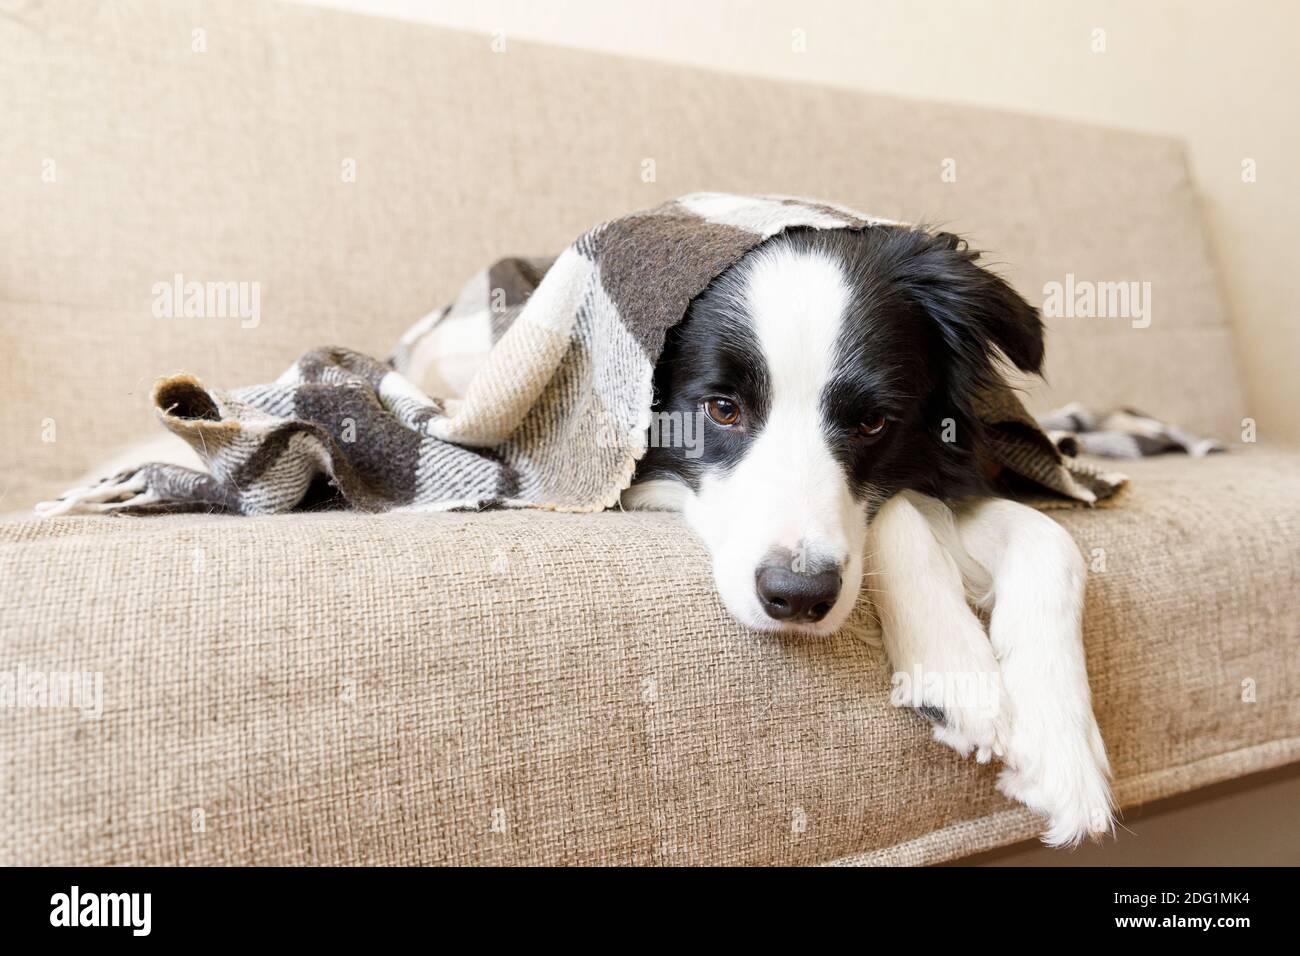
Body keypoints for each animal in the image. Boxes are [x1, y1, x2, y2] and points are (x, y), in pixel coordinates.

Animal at [624, 227, 1112, 848]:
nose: (797, 596)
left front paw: (1063, 749)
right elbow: (897, 510)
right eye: (722, 409)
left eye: (873, 422)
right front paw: (954, 667)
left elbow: (1055, 543)